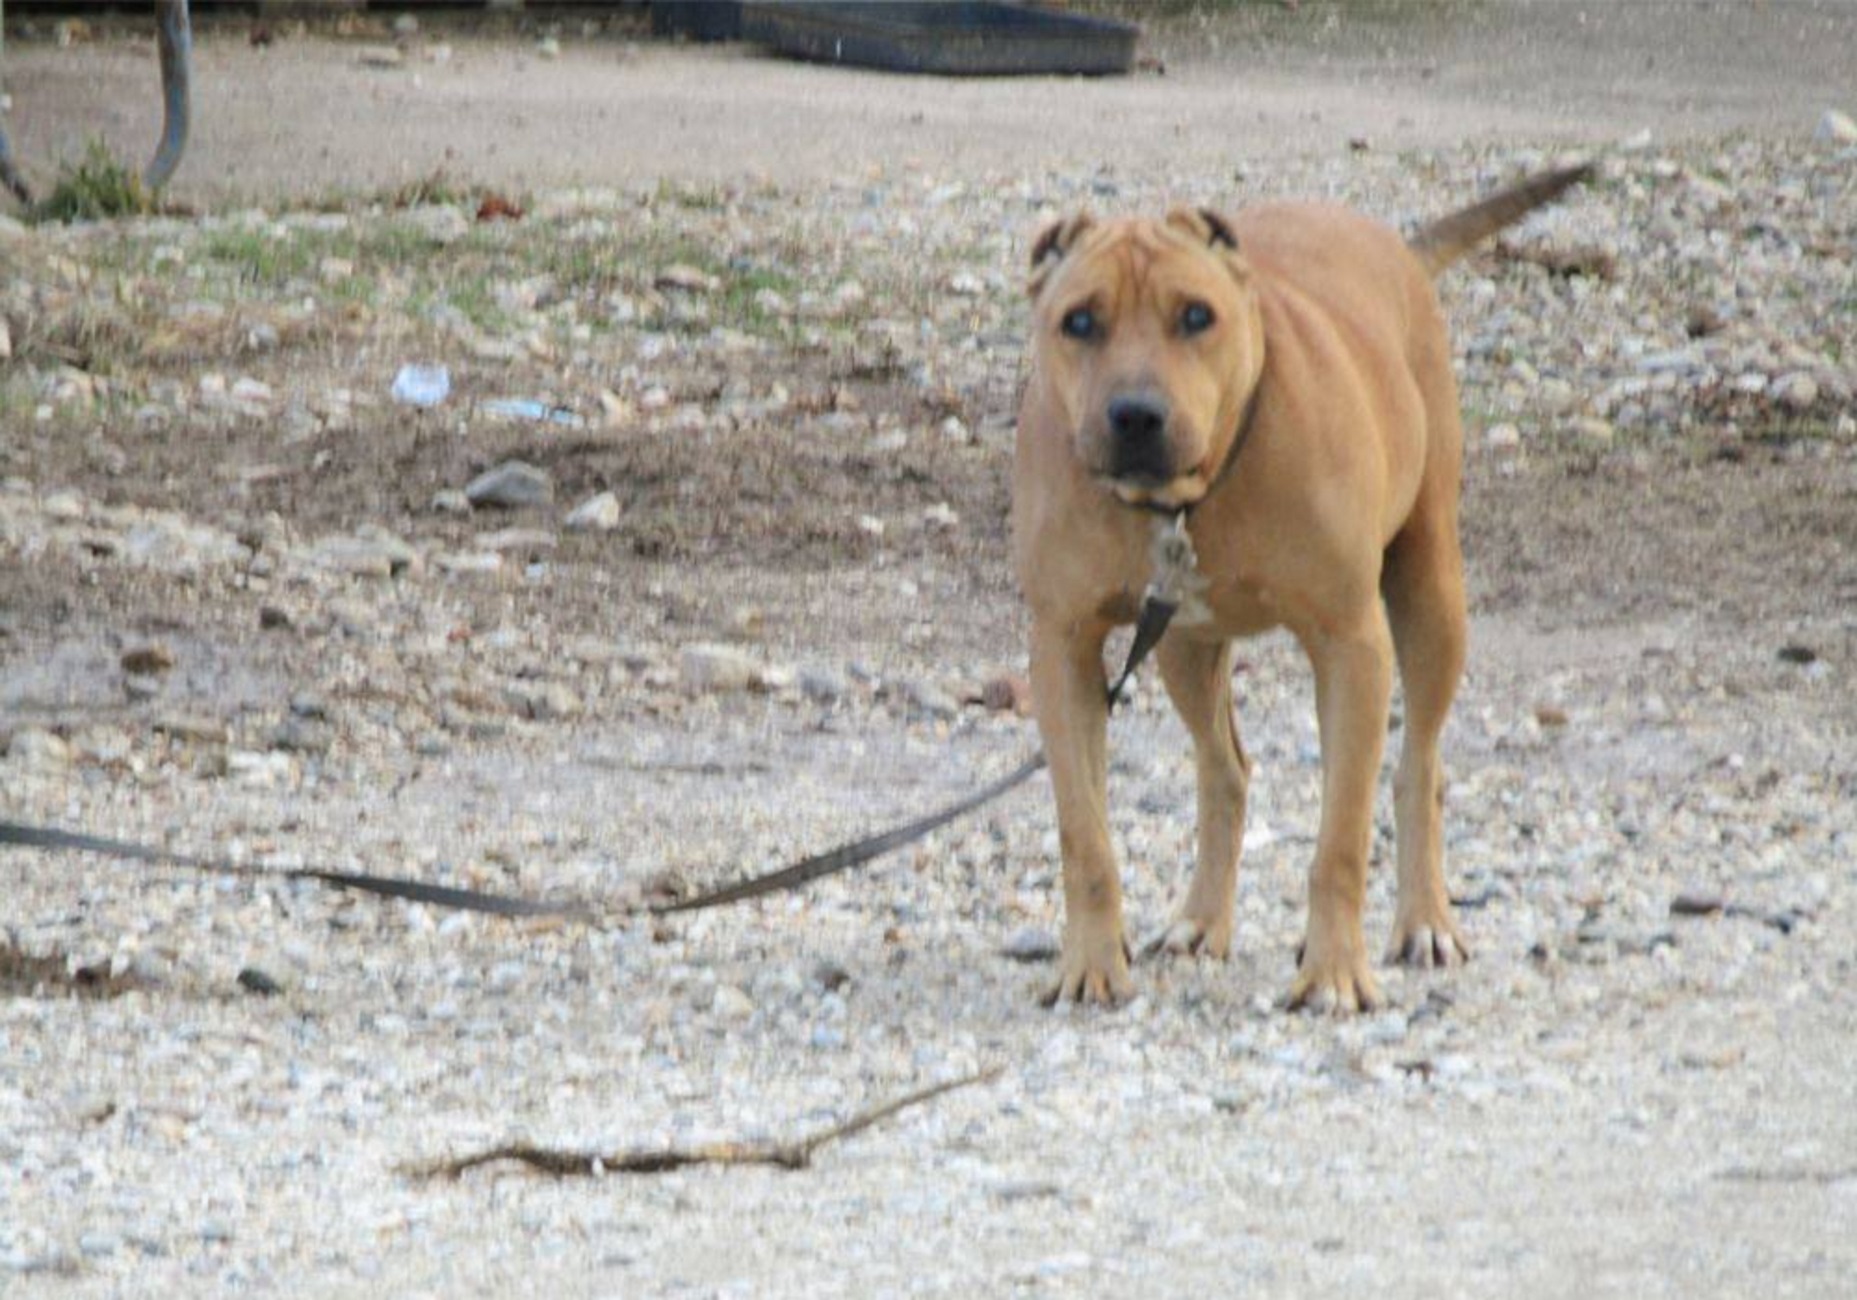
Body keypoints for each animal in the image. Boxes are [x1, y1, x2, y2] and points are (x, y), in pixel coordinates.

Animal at [1010, 167, 1589, 1010]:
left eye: (1196, 315)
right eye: (1078, 321)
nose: (1136, 415)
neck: (1188, 499)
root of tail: (1390, 240)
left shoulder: (1351, 644)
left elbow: (1340, 839)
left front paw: (1334, 971)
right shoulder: (1062, 649)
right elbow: (1083, 836)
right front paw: (1088, 962)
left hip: (1430, 594)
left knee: (1418, 766)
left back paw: (1424, 922)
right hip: (1184, 646)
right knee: (1223, 770)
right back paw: (1200, 920)